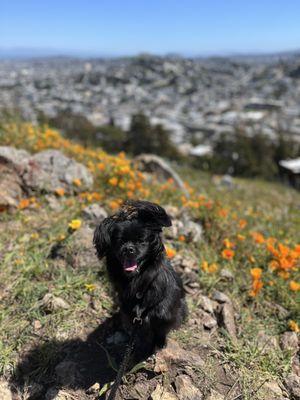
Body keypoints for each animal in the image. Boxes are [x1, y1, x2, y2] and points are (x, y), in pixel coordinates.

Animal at [94, 200, 188, 350]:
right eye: (120, 242)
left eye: (140, 240)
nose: (128, 249)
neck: (138, 282)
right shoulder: (129, 311)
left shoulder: (165, 314)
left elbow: (161, 325)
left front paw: (159, 342)